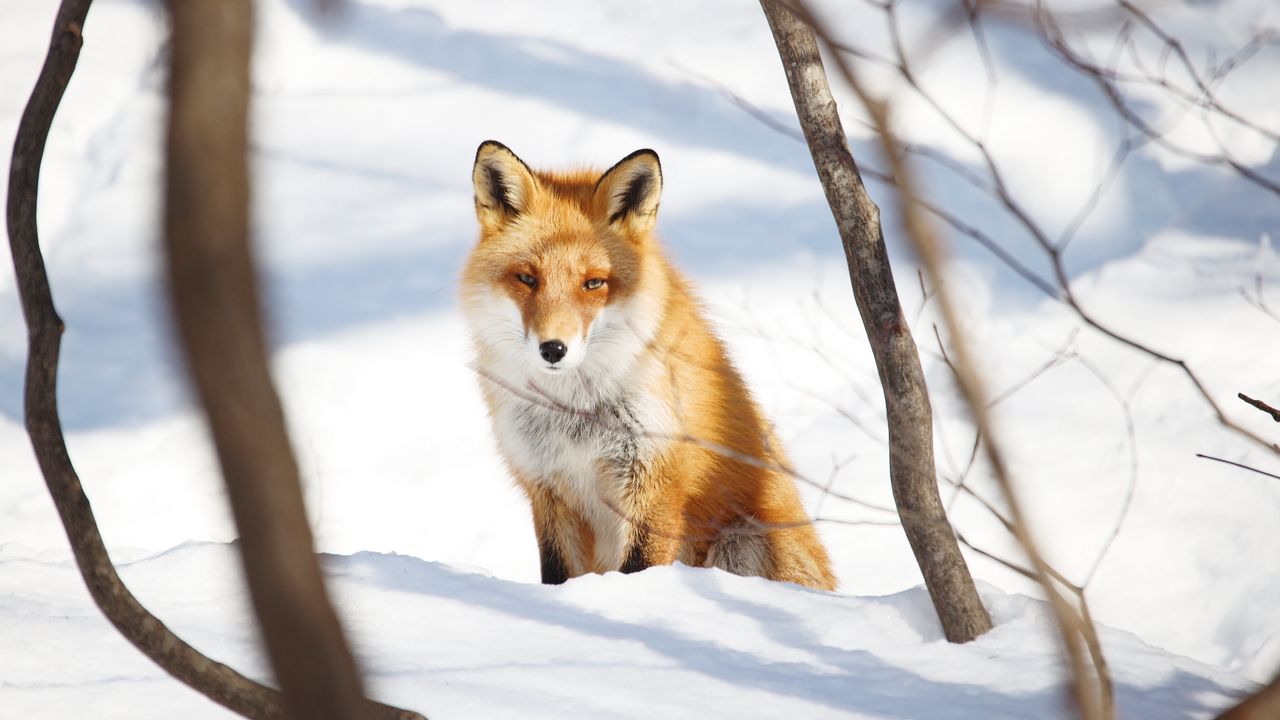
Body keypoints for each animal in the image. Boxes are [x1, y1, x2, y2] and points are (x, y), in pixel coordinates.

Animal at [463, 140, 839, 589]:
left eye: (593, 283)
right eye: (527, 279)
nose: (553, 349)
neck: (576, 413)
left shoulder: (654, 483)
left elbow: (640, 567)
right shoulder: (548, 486)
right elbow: (557, 575)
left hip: (741, 539)